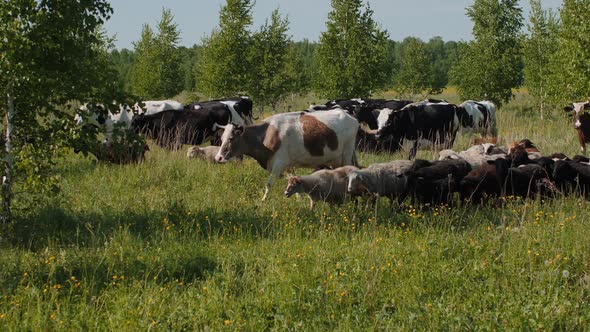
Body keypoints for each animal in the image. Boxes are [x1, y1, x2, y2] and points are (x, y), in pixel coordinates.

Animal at [215, 110, 358, 201]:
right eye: (221, 138)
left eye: (231, 138)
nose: (218, 158)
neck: (267, 134)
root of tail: (350, 116)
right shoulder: (287, 165)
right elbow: (292, 179)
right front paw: (298, 199)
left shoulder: (279, 162)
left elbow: (269, 184)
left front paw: (263, 201)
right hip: (335, 160)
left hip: (347, 153)